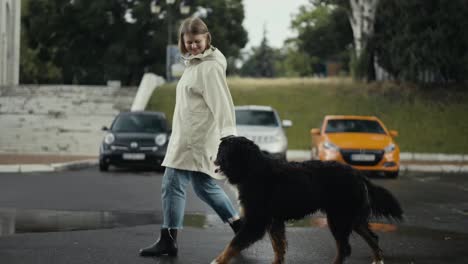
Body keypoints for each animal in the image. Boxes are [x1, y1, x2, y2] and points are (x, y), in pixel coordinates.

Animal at [211, 137, 402, 262]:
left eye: (222, 150)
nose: (212, 158)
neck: (252, 169)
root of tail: (358, 173)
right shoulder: (274, 221)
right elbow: (278, 248)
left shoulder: (257, 222)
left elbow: (233, 245)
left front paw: (217, 261)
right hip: (352, 218)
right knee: (372, 238)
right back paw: (378, 259)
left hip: (338, 219)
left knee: (345, 249)